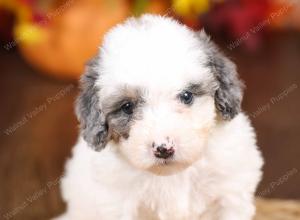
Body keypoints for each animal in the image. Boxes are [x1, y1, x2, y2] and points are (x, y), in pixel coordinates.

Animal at [55, 14, 264, 219]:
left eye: (186, 96)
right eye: (127, 106)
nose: (164, 149)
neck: (173, 174)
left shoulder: (231, 192)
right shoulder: (116, 203)